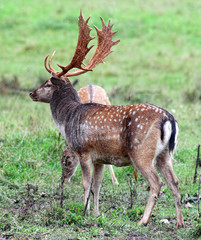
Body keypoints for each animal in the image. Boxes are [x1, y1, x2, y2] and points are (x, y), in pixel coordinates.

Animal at [29, 10, 185, 229]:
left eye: (47, 83)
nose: (31, 93)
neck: (68, 118)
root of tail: (169, 119)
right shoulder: (101, 158)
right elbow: (98, 184)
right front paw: (96, 214)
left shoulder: (84, 150)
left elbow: (86, 183)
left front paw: (84, 213)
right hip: (165, 154)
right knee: (175, 181)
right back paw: (179, 222)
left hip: (141, 151)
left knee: (156, 182)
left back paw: (143, 220)